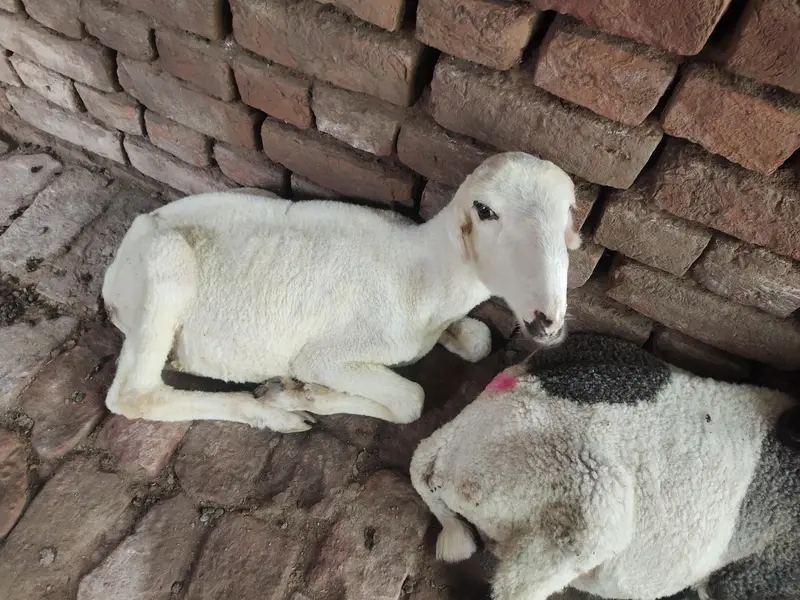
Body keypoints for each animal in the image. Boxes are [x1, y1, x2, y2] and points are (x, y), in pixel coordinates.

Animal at [100, 152, 582, 433]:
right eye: (485, 211)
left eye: (569, 214)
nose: (547, 320)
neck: (422, 271)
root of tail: (115, 271)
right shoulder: (323, 357)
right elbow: (411, 400)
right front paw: (297, 393)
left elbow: (480, 340)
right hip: (165, 266)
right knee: (135, 394)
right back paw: (275, 416)